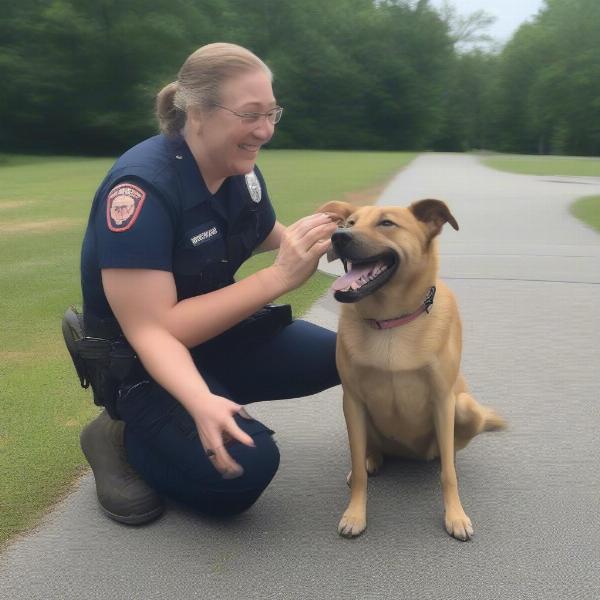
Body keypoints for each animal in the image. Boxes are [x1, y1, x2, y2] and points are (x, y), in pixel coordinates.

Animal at [318, 199, 506, 540]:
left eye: (387, 223)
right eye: (350, 223)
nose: (338, 236)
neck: (392, 323)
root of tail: (407, 454)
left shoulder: (443, 401)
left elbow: (448, 476)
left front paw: (455, 515)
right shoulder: (352, 401)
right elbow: (358, 467)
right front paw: (355, 513)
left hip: (464, 408)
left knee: (447, 454)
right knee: (367, 452)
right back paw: (370, 459)